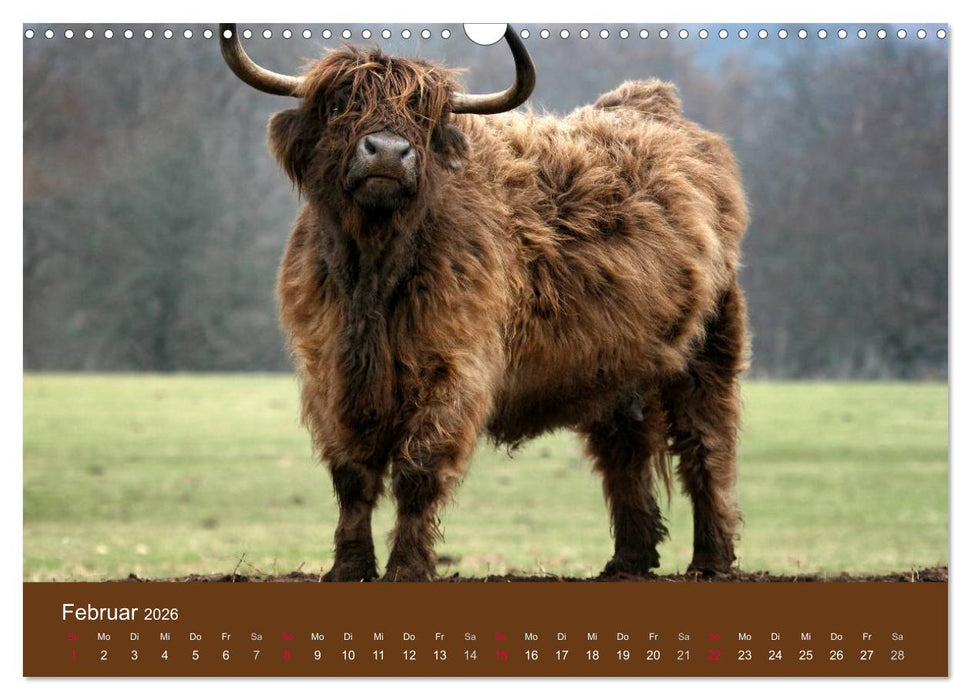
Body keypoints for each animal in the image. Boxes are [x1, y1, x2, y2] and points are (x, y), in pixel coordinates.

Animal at [219, 24, 749, 581]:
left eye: (425, 117)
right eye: (340, 102)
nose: (386, 152)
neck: (373, 273)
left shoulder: (455, 369)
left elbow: (418, 471)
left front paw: (408, 567)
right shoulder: (329, 373)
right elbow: (352, 474)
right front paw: (349, 567)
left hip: (708, 349)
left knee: (706, 448)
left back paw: (710, 562)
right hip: (613, 366)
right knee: (623, 452)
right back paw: (627, 562)